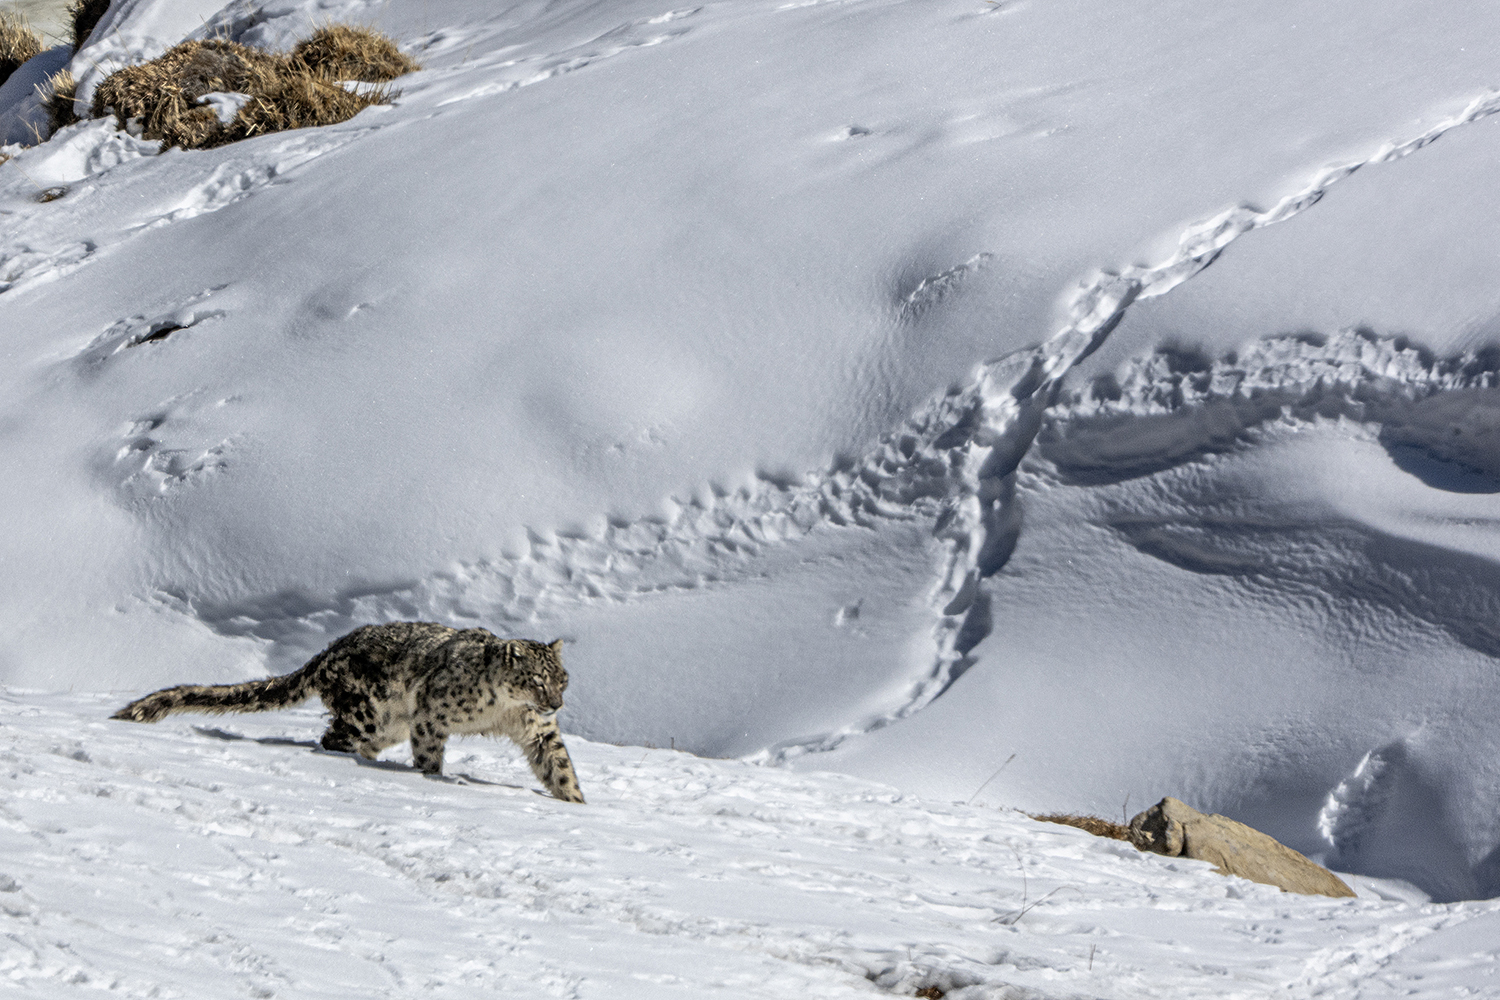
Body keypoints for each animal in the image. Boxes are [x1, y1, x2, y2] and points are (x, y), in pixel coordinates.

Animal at [112, 621, 585, 802]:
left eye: (562, 679)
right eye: (537, 679)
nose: (556, 702)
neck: (503, 712)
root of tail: (330, 650)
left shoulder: (539, 730)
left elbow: (560, 768)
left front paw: (576, 802)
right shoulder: (430, 717)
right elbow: (430, 756)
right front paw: (434, 779)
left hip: (386, 726)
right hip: (368, 715)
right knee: (332, 738)